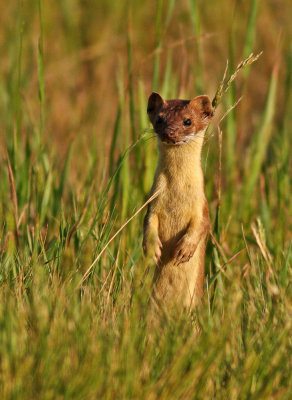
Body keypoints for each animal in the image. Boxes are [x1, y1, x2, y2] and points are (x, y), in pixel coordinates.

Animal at [143, 91, 213, 310]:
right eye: (159, 119)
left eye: (187, 121)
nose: (170, 132)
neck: (177, 194)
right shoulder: (153, 202)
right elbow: (148, 223)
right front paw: (153, 248)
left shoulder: (201, 204)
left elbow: (202, 224)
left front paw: (184, 250)